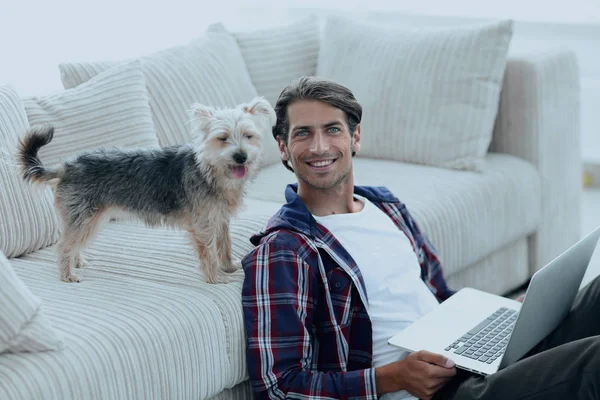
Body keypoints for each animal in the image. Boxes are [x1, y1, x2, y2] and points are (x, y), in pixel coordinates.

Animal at [16, 97, 274, 284]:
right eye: (222, 138)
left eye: (249, 136)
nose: (241, 156)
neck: (209, 170)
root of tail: (67, 166)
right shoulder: (203, 226)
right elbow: (209, 253)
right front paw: (215, 279)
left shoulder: (220, 220)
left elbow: (224, 246)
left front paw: (228, 267)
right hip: (84, 217)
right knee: (63, 245)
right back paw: (67, 274)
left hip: (91, 219)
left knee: (73, 241)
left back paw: (76, 261)